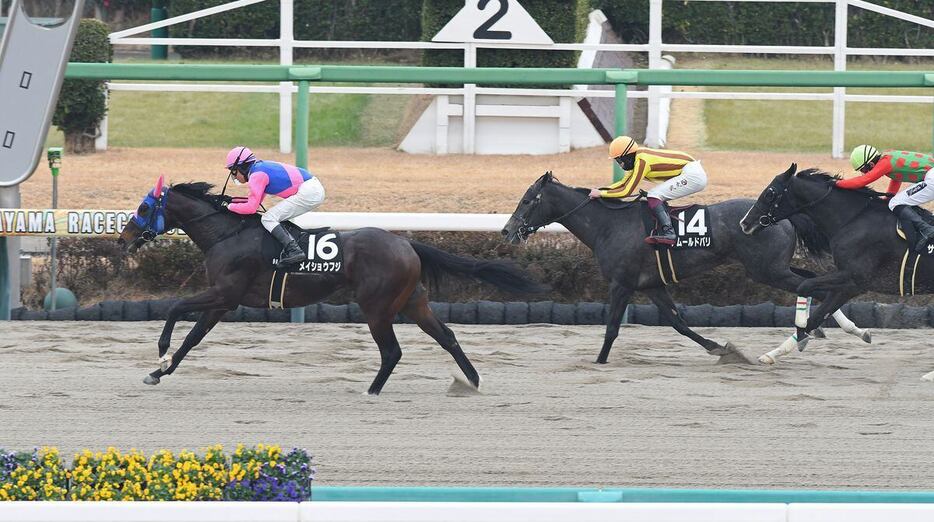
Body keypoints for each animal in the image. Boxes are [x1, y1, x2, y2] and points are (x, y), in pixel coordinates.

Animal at [117, 177, 544, 392]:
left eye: (143, 208)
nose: (122, 240)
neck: (226, 234)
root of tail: (407, 243)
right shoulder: (222, 301)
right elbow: (192, 339)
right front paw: (159, 371)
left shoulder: (225, 293)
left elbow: (174, 307)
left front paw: (159, 352)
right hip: (412, 301)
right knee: (447, 336)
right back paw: (472, 380)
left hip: (377, 307)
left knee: (392, 351)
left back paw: (371, 391)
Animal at [504, 171, 872, 362]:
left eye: (527, 200)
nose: (507, 231)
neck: (609, 224)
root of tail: (778, 217)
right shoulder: (651, 285)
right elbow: (678, 323)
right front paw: (719, 348)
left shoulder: (621, 283)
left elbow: (612, 327)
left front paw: (599, 360)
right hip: (772, 268)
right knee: (812, 280)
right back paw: (825, 329)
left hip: (765, 269)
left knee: (812, 284)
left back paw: (831, 330)